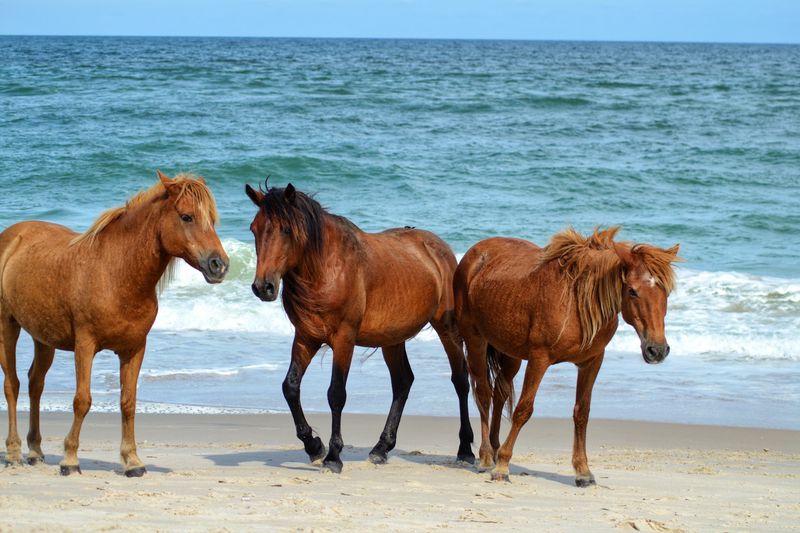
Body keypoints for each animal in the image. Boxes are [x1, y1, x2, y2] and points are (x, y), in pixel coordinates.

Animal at [0, 171, 228, 476]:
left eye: (212, 220)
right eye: (187, 217)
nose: (219, 265)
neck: (116, 272)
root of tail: (12, 236)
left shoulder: (134, 349)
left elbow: (128, 402)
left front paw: (132, 461)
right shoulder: (85, 345)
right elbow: (82, 400)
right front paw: (70, 459)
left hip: (43, 337)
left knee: (36, 384)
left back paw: (35, 451)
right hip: (7, 325)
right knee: (11, 385)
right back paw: (13, 452)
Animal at [245, 182, 474, 473]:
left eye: (286, 230)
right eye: (254, 228)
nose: (263, 287)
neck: (327, 269)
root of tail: (440, 249)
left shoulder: (344, 338)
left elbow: (336, 393)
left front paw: (333, 456)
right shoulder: (306, 337)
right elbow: (290, 387)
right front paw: (313, 445)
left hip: (447, 329)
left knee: (460, 381)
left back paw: (465, 450)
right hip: (392, 339)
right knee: (403, 382)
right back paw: (381, 448)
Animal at [453, 226, 680, 485]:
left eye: (666, 292)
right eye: (632, 291)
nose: (657, 350)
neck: (577, 302)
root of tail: (473, 254)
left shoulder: (592, 362)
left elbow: (582, 412)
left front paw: (583, 471)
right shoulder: (539, 359)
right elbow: (523, 410)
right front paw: (502, 466)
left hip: (510, 352)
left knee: (500, 392)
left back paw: (494, 447)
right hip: (476, 341)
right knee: (483, 394)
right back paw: (486, 457)